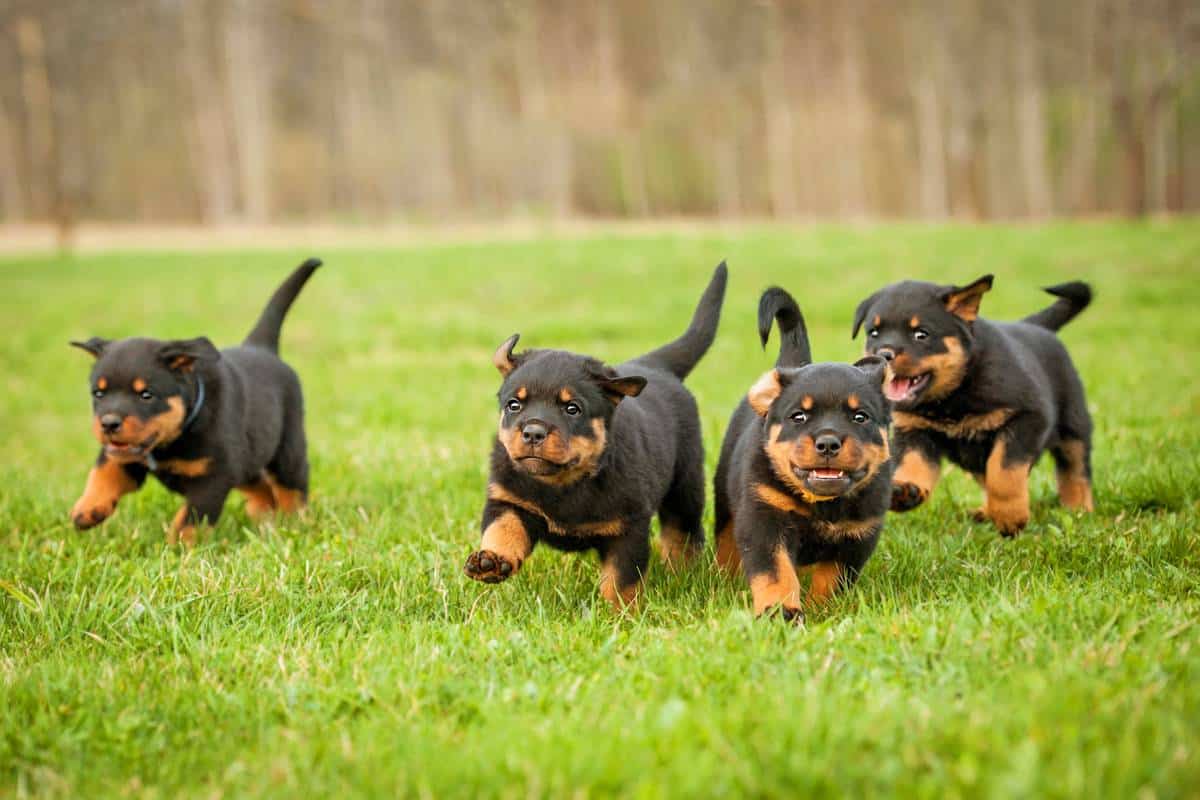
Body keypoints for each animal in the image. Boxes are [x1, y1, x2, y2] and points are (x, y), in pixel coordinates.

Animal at [69, 256, 324, 544]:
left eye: (146, 395)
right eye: (98, 393)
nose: (109, 424)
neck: (174, 436)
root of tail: (260, 347)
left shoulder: (215, 476)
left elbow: (190, 520)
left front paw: (176, 548)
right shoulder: (125, 455)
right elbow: (104, 471)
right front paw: (88, 509)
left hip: (287, 451)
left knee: (291, 490)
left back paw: (295, 525)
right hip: (248, 456)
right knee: (260, 485)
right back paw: (264, 516)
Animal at [465, 262, 729, 606]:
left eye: (572, 409)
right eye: (514, 405)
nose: (533, 432)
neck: (563, 483)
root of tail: (656, 366)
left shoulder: (628, 527)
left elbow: (621, 579)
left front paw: (619, 612)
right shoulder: (508, 499)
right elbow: (502, 529)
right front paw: (491, 560)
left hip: (686, 484)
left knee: (682, 532)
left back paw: (682, 573)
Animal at [710, 289, 892, 623]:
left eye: (860, 417)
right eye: (799, 416)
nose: (828, 442)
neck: (823, 505)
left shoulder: (858, 534)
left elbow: (833, 577)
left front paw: (823, 609)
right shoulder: (765, 518)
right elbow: (776, 572)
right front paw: (781, 612)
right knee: (726, 538)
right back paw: (725, 576)